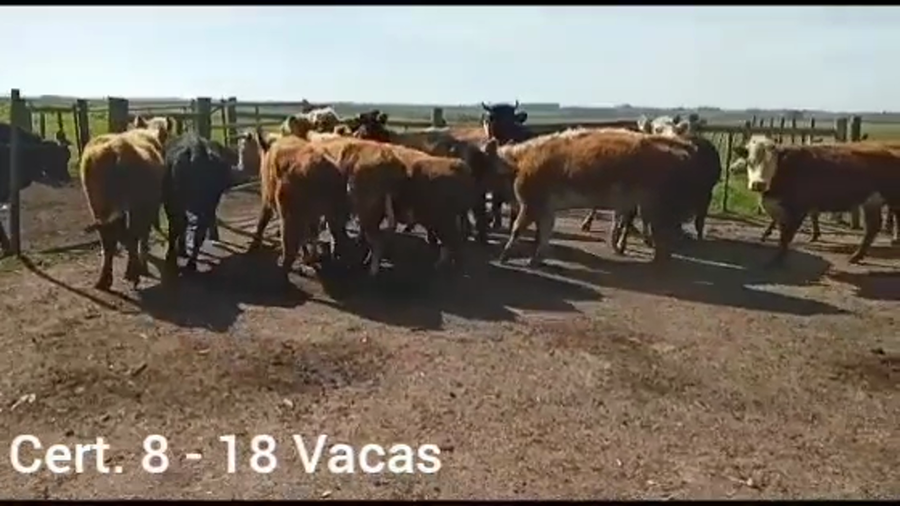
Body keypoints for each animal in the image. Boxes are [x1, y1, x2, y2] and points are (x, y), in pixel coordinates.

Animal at [79, 115, 173, 290]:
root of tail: (116, 148)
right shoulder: (150, 205)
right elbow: (143, 234)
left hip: (98, 204)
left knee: (108, 238)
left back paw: (104, 280)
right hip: (135, 204)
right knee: (132, 234)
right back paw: (133, 273)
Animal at [482, 127, 700, 266]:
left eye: (481, 162)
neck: (519, 163)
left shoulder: (531, 204)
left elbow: (517, 229)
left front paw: (504, 257)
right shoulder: (546, 209)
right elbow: (545, 232)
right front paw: (535, 260)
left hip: (658, 206)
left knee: (664, 234)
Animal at [736, 135, 900, 266]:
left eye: (772, 162)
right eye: (750, 161)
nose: (758, 184)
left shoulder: (798, 209)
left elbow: (786, 237)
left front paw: (777, 261)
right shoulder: (779, 210)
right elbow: (783, 234)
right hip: (872, 201)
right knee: (873, 227)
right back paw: (856, 256)